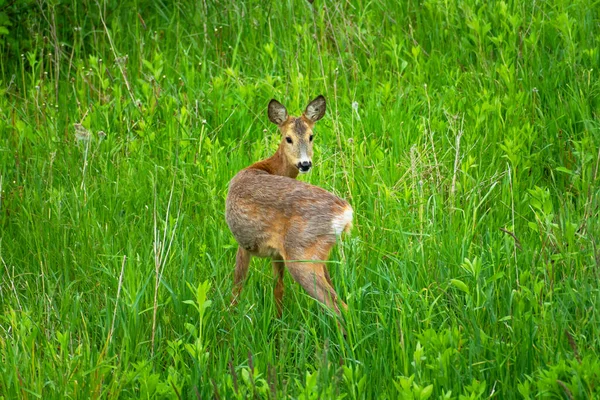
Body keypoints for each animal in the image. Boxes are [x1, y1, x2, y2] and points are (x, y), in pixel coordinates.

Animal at [227, 95, 354, 326]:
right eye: (288, 138)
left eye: (311, 136)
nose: (305, 164)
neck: (265, 167)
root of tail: (346, 212)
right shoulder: (277, 253)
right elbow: (279, 289)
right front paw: (278, 322)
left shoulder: (243, 242)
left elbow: (237, 286)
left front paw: (229, 321)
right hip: (319, 255)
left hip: (301, 255)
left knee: (340, 308)